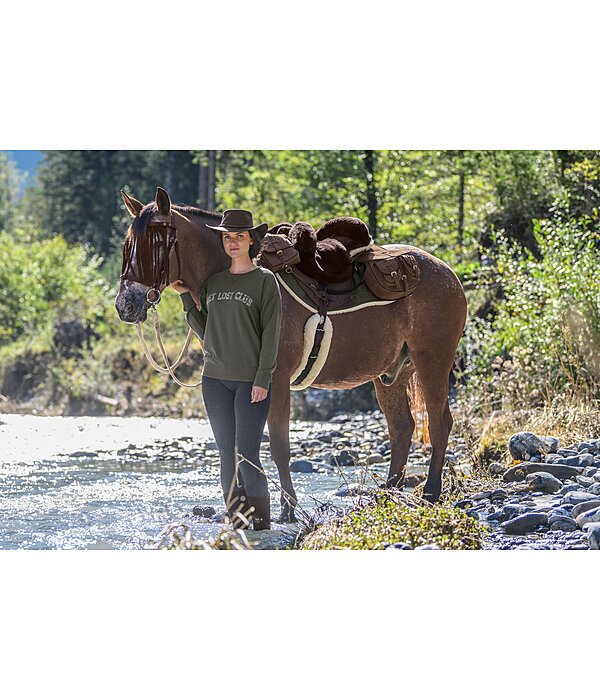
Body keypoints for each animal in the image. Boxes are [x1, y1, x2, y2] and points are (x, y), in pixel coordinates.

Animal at [115, 186, 466, 520]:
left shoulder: (276, 380)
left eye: (155, 245)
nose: (125, 306)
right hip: (390, 375)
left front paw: (287, 509)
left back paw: (430, 493)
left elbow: (279, 447)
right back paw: (387, 495)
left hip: (433, 363)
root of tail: (448, 272)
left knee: (439, 423)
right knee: (402, 428)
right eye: (127, 245)